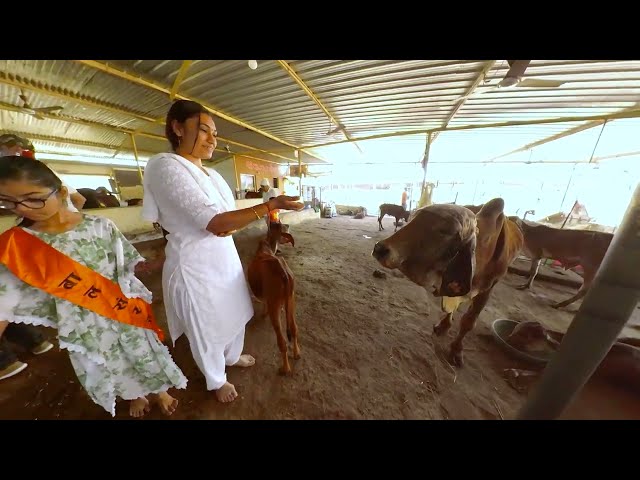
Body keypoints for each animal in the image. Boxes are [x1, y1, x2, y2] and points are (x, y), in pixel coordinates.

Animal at [248, 222, 302, 376]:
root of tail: (283, 272)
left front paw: (262, 313)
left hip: (275, 306)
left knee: (282, 341)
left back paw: (285, 369)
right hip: (291, 299)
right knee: (294, 329)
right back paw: (297, 354)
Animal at [370, 199, 524, 368]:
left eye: (445, 230)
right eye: (412, 217)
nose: (380, 248)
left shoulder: (487, 289)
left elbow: (468, 321)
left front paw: (456, 350)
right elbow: (451, 309)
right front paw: (444, 326)